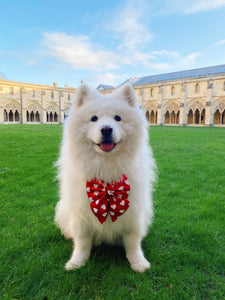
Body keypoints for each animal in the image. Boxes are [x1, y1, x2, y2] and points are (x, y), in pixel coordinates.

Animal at [54, 83, 156, 274]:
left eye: (117, 118)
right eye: (94, 118)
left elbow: (133, 244)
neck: (106, 170)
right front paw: (76, 263)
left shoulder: (133, 215)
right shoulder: (81, 215)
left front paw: (138, 263)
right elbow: (82, 243)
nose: (106, 129)